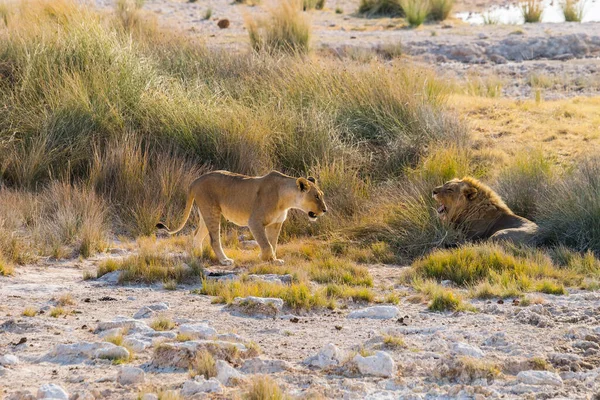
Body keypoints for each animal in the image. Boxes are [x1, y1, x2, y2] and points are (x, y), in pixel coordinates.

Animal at [155, 170, 324, 266]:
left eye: (321, 195)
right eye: (316, 196)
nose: (325, 210)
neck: (286, 200)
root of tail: (195, 181)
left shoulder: (276, 224)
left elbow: (272, 243)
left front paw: (272, 259)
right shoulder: (254, 221)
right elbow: (266, 244)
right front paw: (267, 259)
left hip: (206, 213)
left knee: (196, 235)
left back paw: (197, 255)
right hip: (212, 211)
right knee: (214, 240)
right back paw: (224, 260)